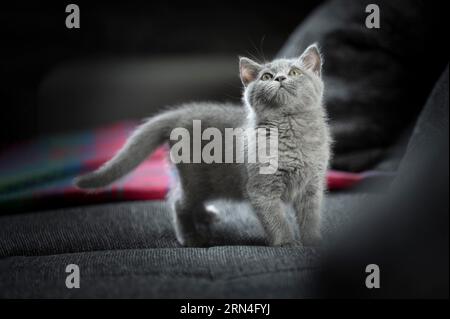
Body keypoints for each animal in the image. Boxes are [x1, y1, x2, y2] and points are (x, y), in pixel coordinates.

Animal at [74, 44, 330, 248]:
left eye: (295, 72)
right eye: (266, 77)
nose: (280, 79)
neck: (291, 131)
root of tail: (182, 112)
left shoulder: (313, 185)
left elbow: (311, 216)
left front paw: (312, 241)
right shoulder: (261, 189)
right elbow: (277, 219)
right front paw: (287, 243)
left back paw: (206, 215)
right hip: (195, 177)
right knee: (178, 201)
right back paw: (191, 237)